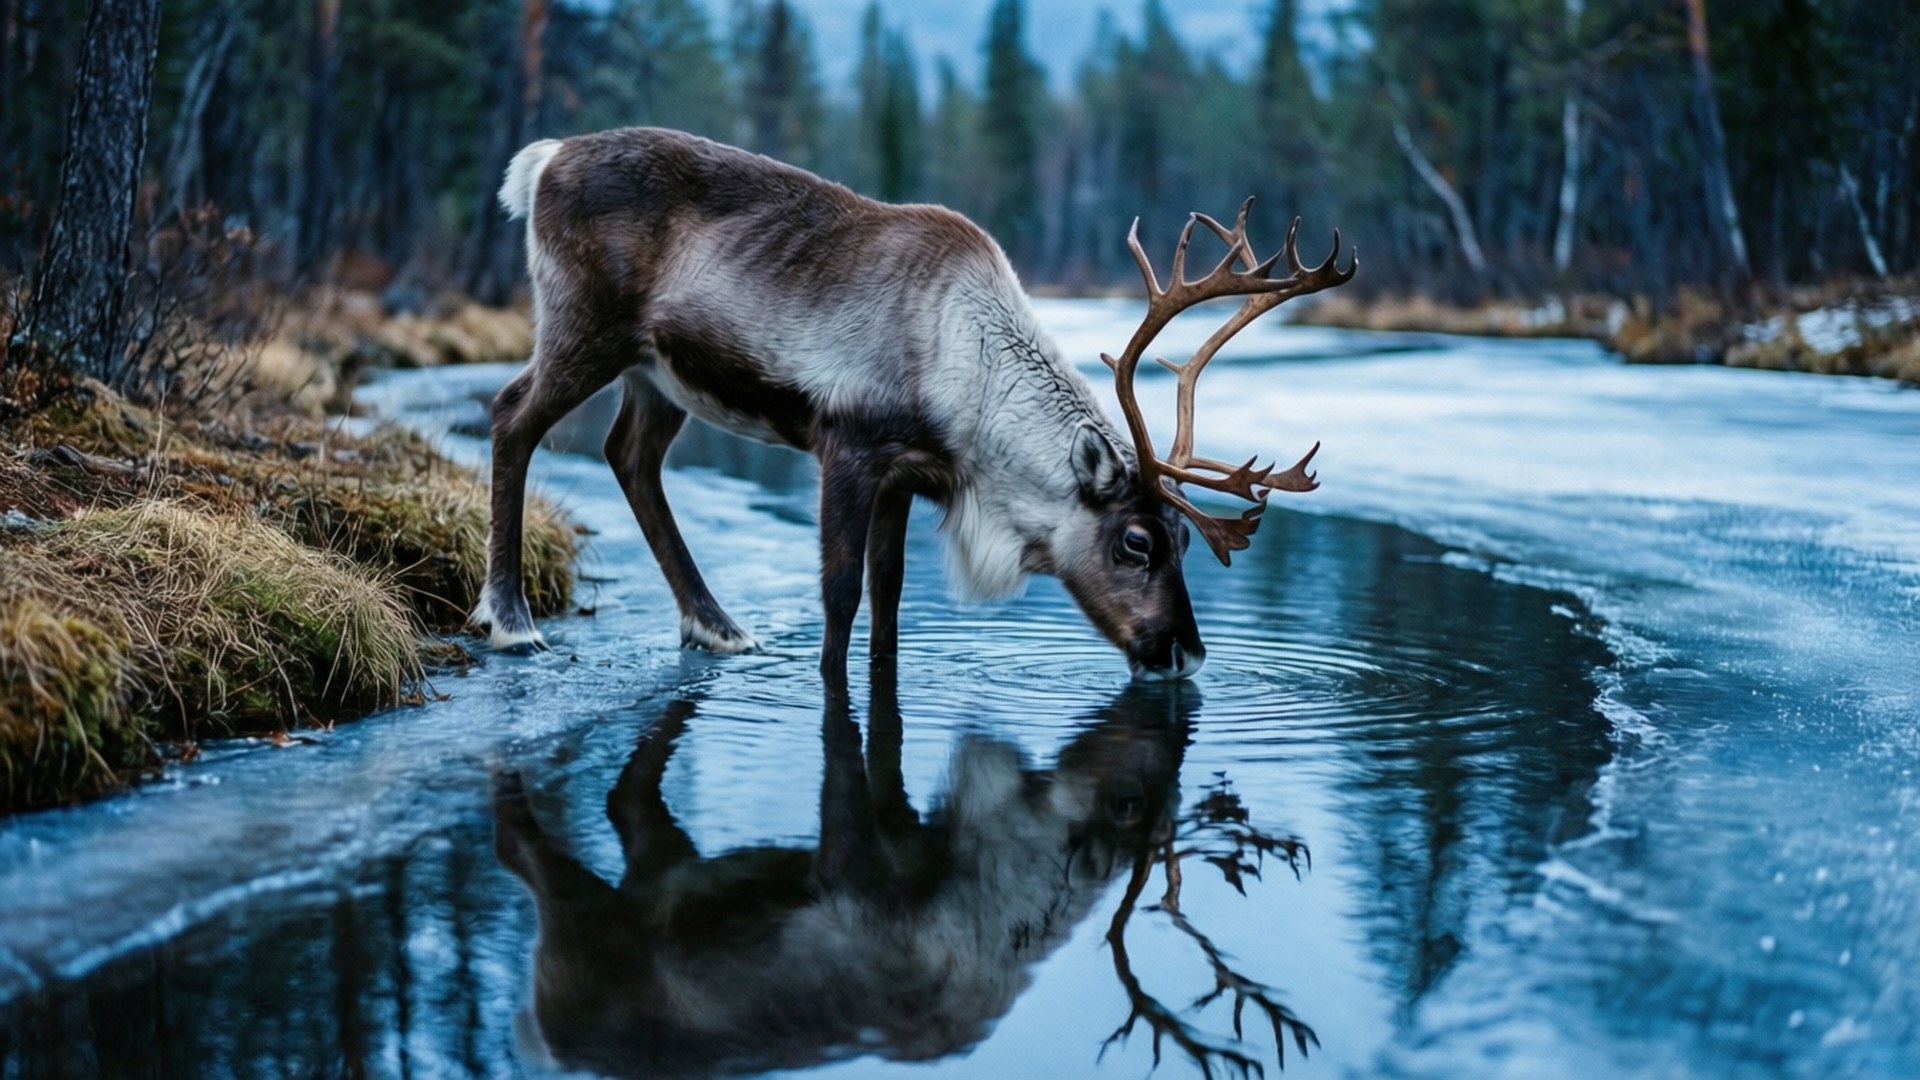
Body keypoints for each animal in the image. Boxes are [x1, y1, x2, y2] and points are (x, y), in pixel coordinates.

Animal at [471, 127, 1355, 679]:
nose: (1185, 653)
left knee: (630, 456)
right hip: (586, 326)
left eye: (1184, 537)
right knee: (513, 414)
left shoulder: (906, 477)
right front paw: (830, 681)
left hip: (658, 375)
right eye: (1137, 542)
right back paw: (511, 620)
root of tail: (543, 160)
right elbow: (841, 594)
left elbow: (890, 598)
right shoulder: (849, 447)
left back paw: (716, 626)